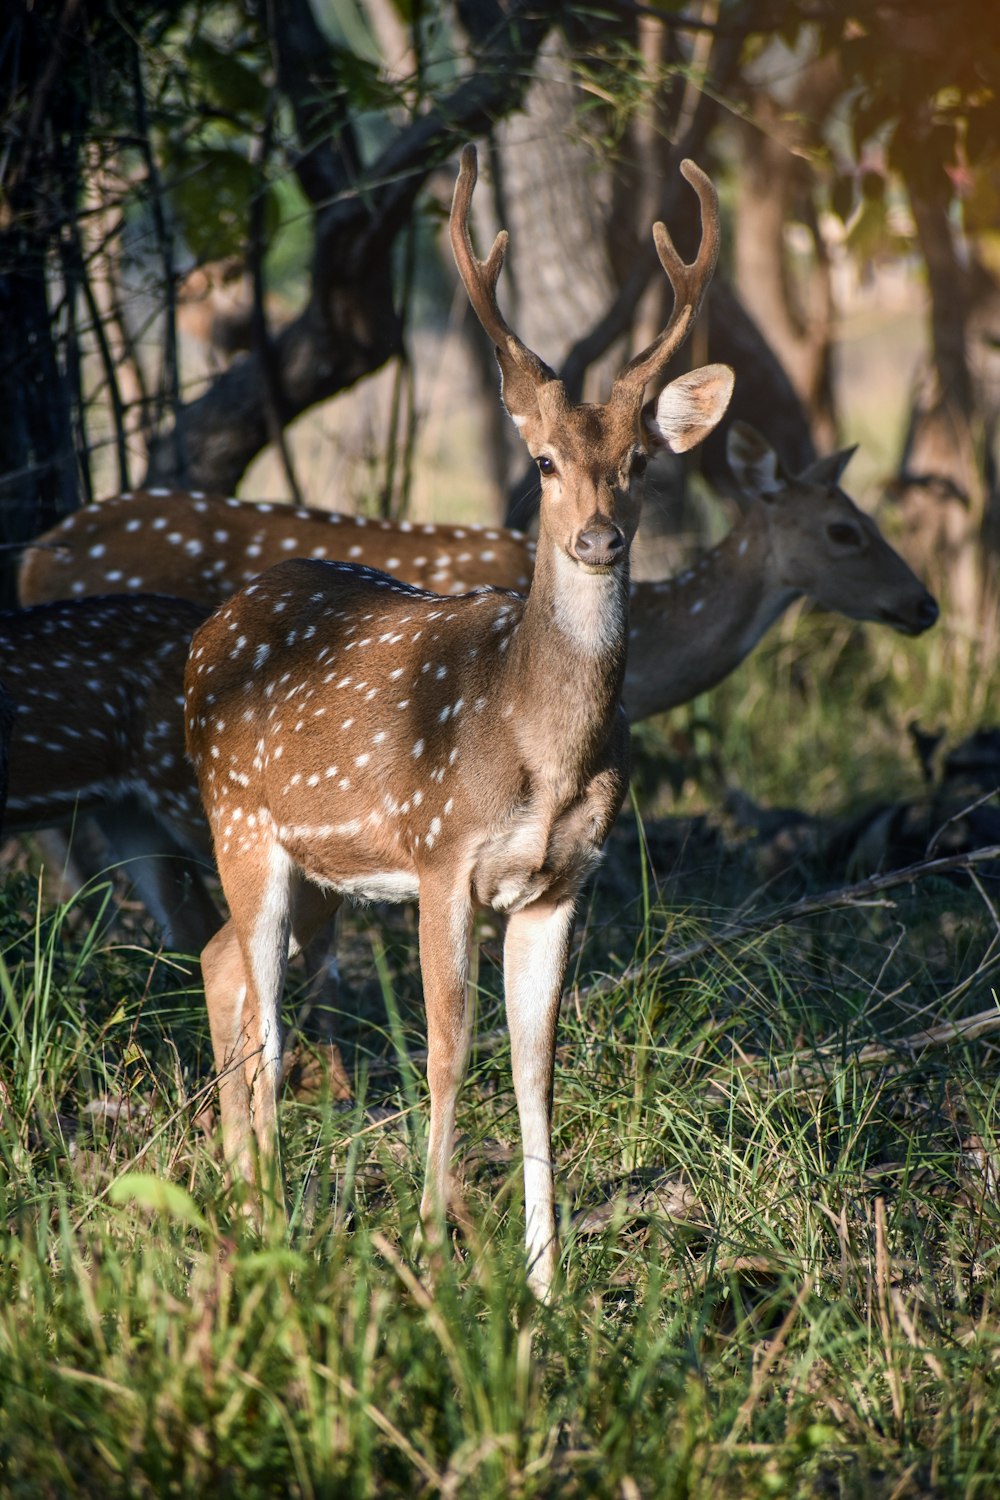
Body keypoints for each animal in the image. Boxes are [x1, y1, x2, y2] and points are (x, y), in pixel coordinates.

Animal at [185, 143, 734, 1290]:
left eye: (642, 464)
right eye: (545, 463)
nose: (601, 539)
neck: (539, 749)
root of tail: (207, 633)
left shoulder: (562, 881)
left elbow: (536, 1068)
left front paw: (546, 1281)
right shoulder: (443, 858)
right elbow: (444, 1050)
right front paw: (436, 1254)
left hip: (323, 875)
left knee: (220, 966)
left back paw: (246, 1203)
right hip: (240, 818)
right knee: (257, 1003)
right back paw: (264, 1219)